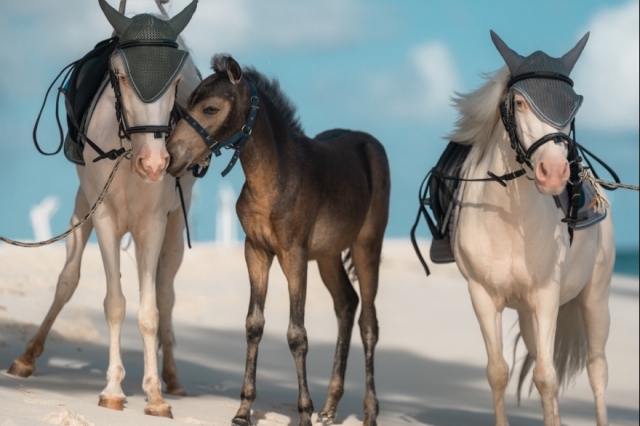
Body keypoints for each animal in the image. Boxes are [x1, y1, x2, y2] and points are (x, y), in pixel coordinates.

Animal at [7, 0, 201, 418]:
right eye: (120, 75)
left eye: (178, 82)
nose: (155, 164)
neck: (128, 151)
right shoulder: (104, 218)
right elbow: (114, 304)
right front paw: (113, 389)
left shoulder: (154, 225)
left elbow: (150, 310)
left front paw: (155, 395)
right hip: (83, 205)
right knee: (67, 280)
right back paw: (27, 357)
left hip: (175, 225)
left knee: (165, 292)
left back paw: (172, 376)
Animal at [166, 55, 390, 426]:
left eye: (211, 109)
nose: (170, 156)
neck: (274, 178)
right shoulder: (256, 251)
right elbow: (253, 324)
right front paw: (243, 410)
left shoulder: (293, 254)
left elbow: (297, 334)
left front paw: (303, 414)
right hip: (327, 255)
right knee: (346, 303)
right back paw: (330, 408)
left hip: (367, 247)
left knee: (368, 322)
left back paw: (369, 413)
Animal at [449, 31, 614, 426]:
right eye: (521, 103)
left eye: (573, 107)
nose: (554, 173)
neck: (510, 222)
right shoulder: (482, 296)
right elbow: (498, 372)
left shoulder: (546, 295)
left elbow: (546, 376)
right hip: (526, 314)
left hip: (595, 297)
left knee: (596, 369)